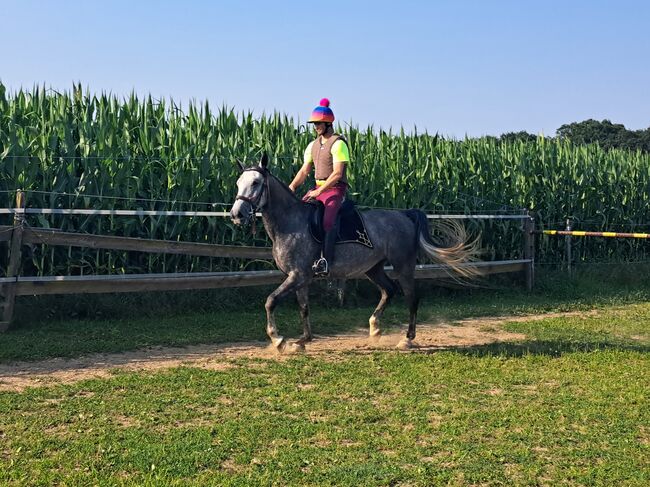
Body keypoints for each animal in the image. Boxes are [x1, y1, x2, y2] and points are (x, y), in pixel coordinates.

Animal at [227, 154, 476, 352]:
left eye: (256, 182)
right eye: (239, 182)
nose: (237, 214)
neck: (290, 222)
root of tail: (404, 215)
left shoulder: (298, 276)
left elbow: (270, 301)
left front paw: (278, 340)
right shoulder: (300, 278)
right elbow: (304, 308)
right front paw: (302, 341)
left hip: (403, 266)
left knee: (411, 297)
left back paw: (407, 339)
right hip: (373, 268)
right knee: (389, 290)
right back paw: (374, 328)